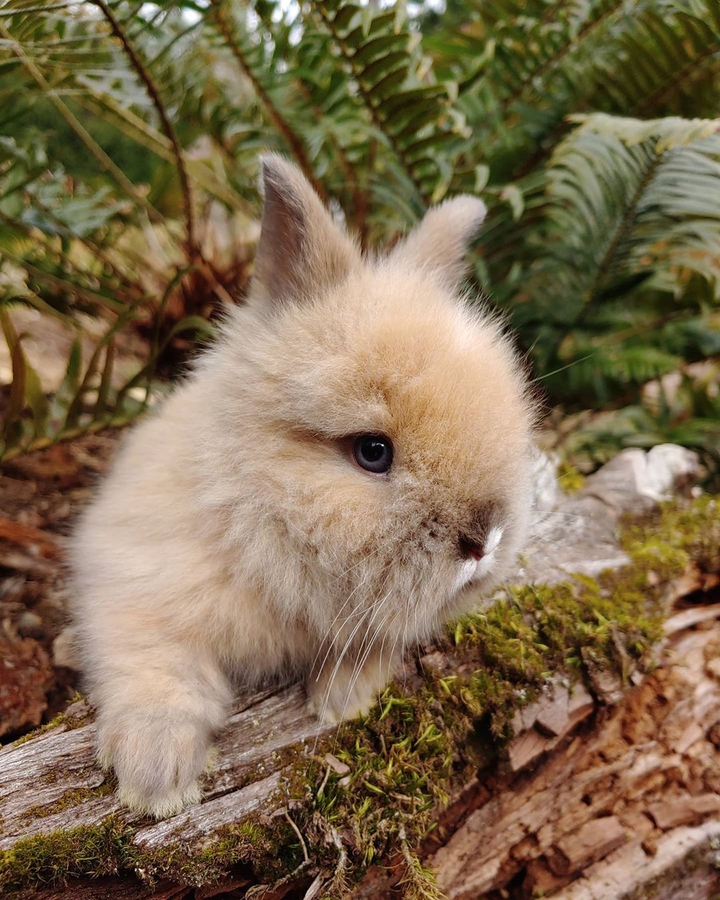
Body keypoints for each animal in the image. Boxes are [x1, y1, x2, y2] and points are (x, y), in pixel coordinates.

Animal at [69, 155, 537, 818]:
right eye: (373, 452)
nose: (484, 541)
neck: (255, 521)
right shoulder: (131, 579)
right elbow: (153, 667)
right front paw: (155, 778)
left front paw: (343, 700)